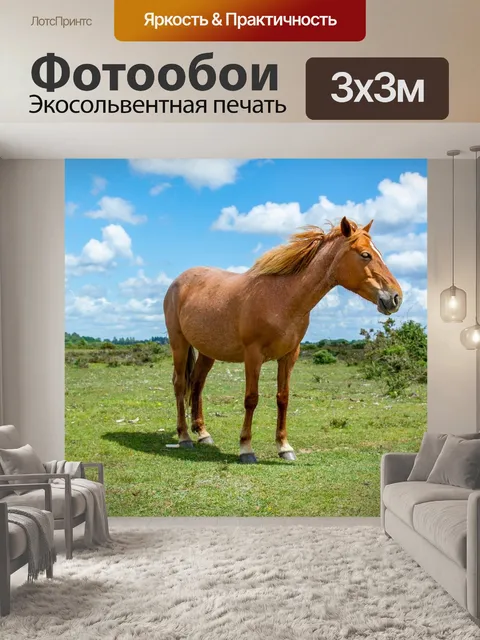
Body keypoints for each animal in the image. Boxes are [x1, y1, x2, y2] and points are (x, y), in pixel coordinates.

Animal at [163, 217, 402, 464]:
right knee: (180, 384)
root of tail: (178, 282)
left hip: (207, 351)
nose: (395, 297)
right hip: (179, 343)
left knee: (197, 383)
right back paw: (184, 436)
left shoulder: (289, 355)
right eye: (365, 255)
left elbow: (283, 399)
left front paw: (284, 446)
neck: (281, 298)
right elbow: (251, 399)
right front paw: (246, 448)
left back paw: (202, 433)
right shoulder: (253, 355)